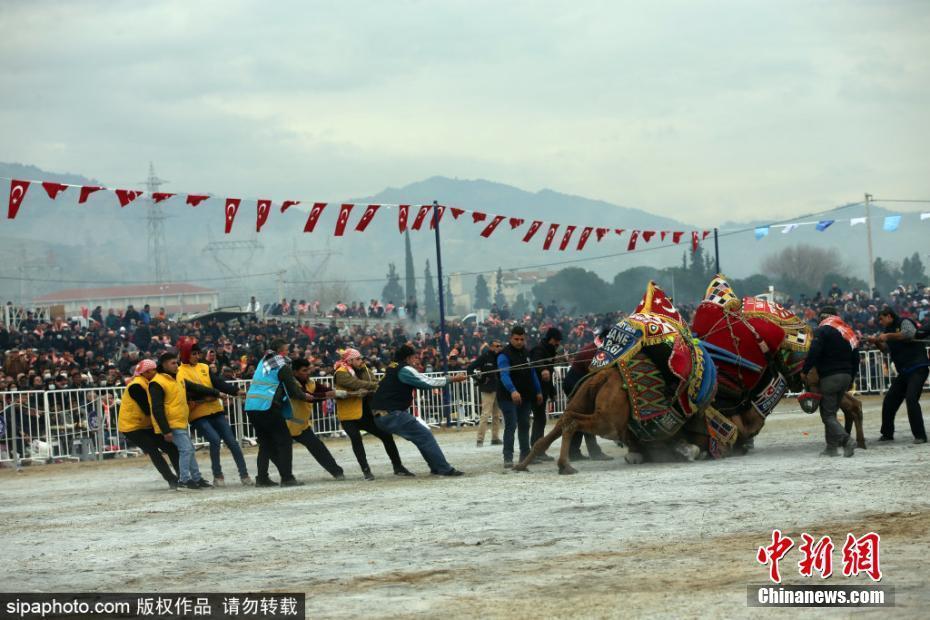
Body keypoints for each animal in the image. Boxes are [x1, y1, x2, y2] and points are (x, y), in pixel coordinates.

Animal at [516, 276, 864, 474]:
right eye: (794, 348)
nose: (811, 367)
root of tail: (603, 374)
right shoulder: (719, 431)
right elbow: (704, 444)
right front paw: (687, 451)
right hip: (609, 417)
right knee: (571, 423)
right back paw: (562, 465)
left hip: (585, 399)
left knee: (560, 422)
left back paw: (526, 463)